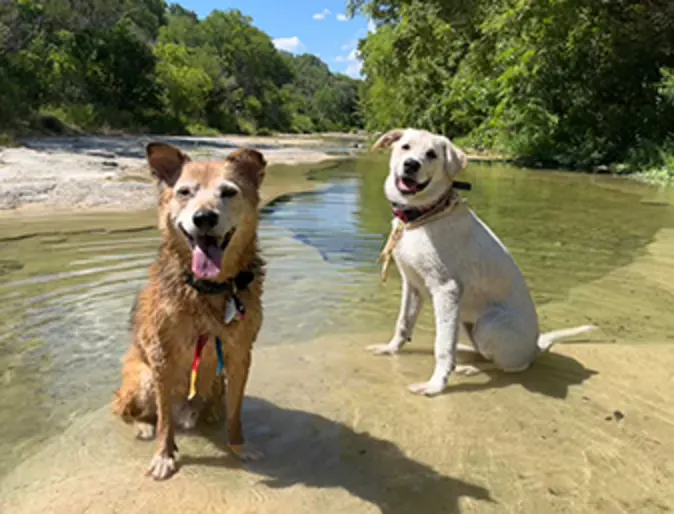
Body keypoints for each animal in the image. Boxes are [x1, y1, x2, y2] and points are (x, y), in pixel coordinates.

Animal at [112, 142, 266, 478]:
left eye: (228, 191)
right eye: (184, 192)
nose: (204, 217)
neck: (207, 289)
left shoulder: (239, 354)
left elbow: (236, 412)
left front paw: (239, 447)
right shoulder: (162, 358)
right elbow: (165, 422)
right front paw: (164, 455)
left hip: (216, 383)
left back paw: (209, 415)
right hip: (143, 378)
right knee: (129, 410)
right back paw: (143, 426)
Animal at [368, 128, 592, 396]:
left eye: (432, 154)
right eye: (405, 147)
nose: (411, 165)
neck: (422, 217)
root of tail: (535, 347)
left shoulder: (447, 290)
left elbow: (442, 344)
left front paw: (435, 385)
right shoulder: (412, 285)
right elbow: (403, 322)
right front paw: (390, 349)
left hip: (489, 323)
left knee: (510, 366)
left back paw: (471, 368)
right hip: (467, 322)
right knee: (482, 352)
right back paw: (466, 355)